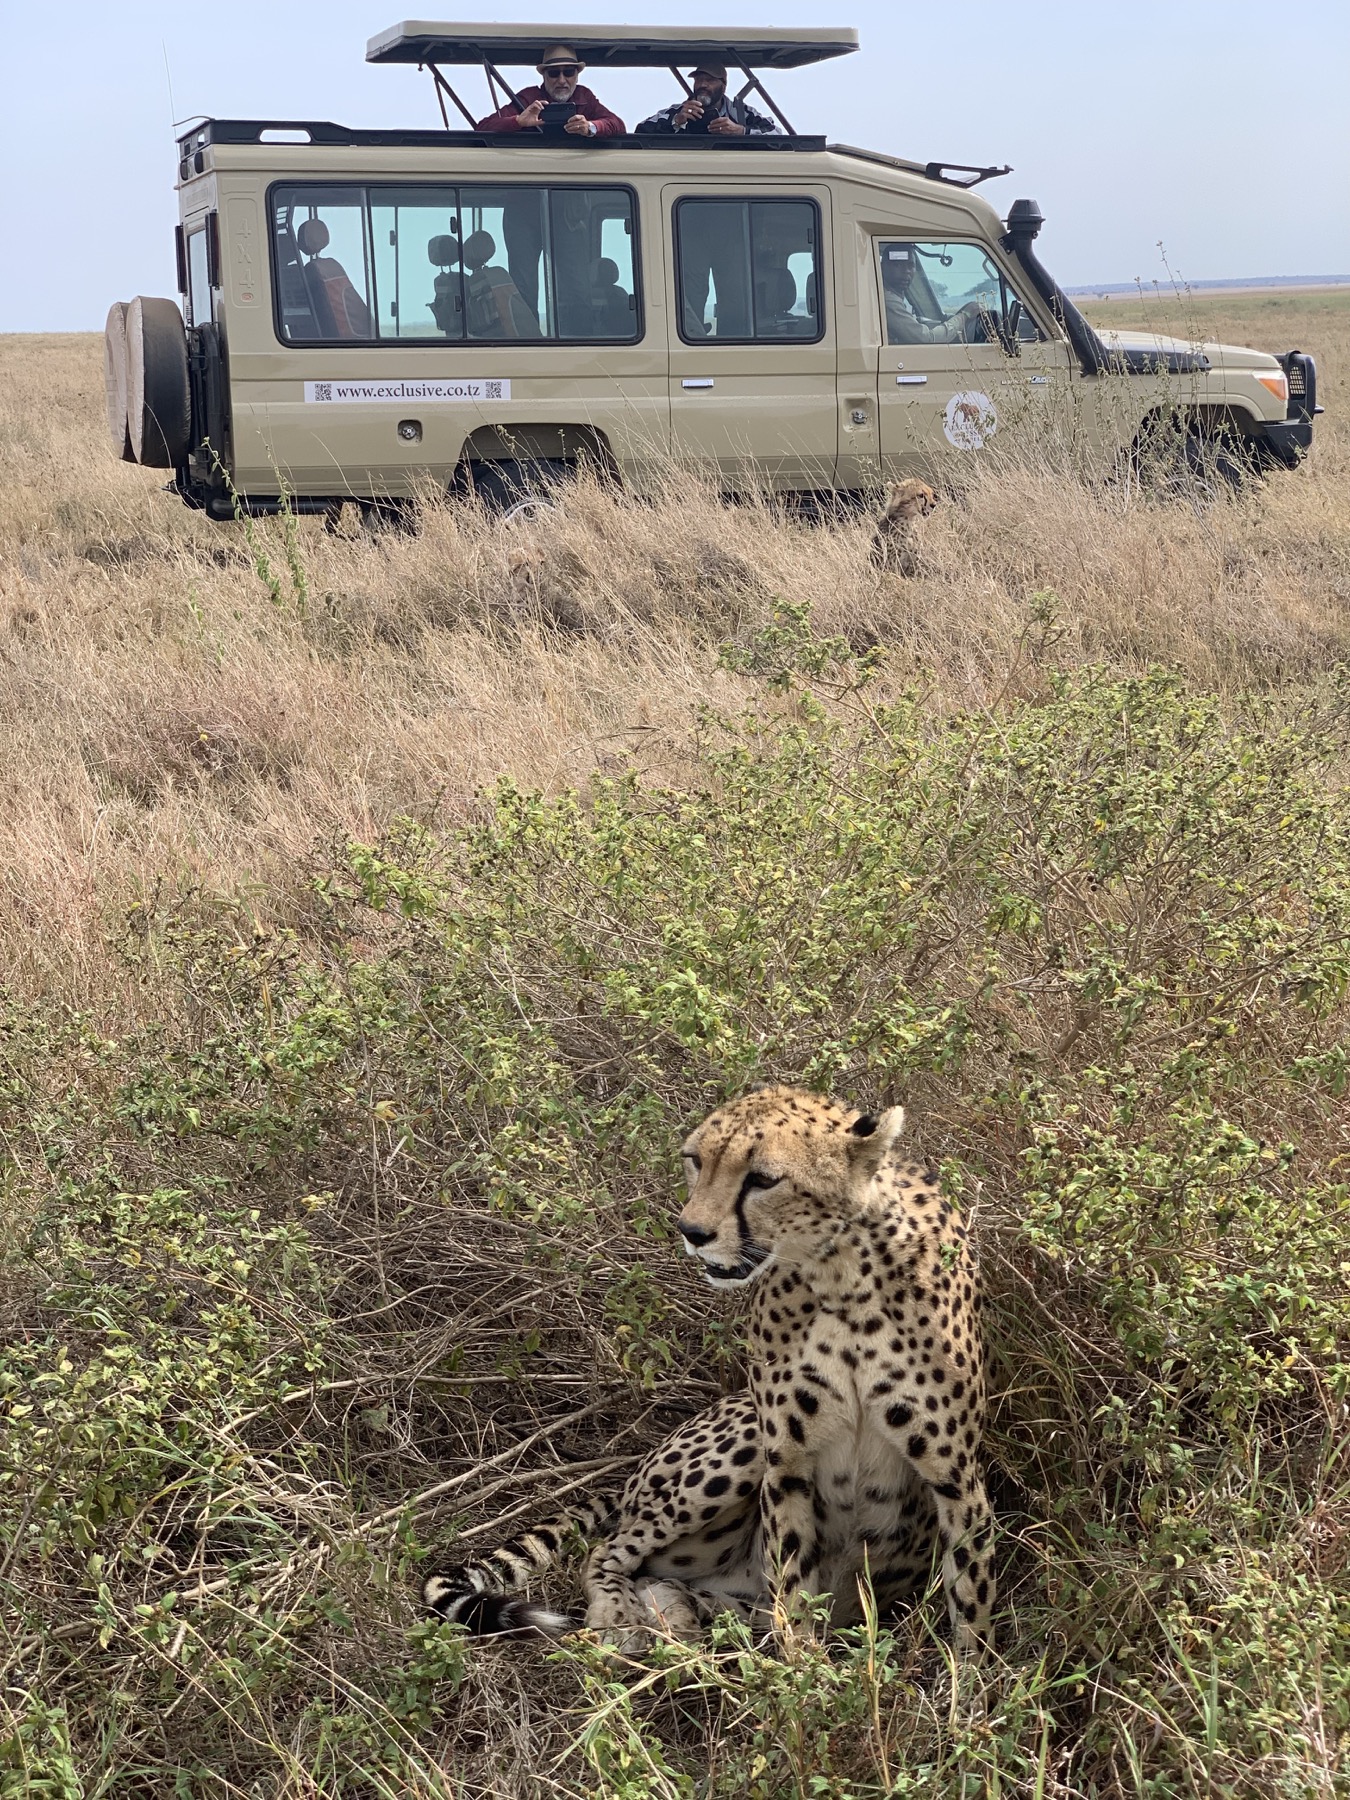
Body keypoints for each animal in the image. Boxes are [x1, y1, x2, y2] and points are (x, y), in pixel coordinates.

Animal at [422, 1084, 995, 1655]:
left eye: (762, 1178)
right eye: (695, 1160)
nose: (691, 1231)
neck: (841, 1276)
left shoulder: (956, 1477)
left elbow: (971, 1600)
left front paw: (969, 1676)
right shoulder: (786, 1463)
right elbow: (793, 1588)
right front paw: (803, 1668)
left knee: (675, 1584)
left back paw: (674, 1618)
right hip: (743, 1441)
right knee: (608, 1550)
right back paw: (621, 1620)